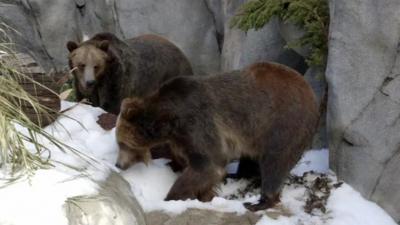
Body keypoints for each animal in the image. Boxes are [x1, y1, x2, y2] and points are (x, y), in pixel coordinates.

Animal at [66, 32, 194, 114]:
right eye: (81, 65)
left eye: (96, 66)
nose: (90, 82)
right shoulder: (81, 86)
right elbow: (85, 99)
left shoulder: (116, 79)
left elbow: (112, 105)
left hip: (171, 74)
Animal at [115, 61, 318, 211]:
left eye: (121, 143)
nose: (118, 164)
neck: (168, 120)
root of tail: (310, 91)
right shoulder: (181, 136)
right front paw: (205, 194)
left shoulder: (197, 123)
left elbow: (208, 164)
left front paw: (171, 197)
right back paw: (239, 176)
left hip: (281, 124)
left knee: (275, 162)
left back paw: (259, 202)